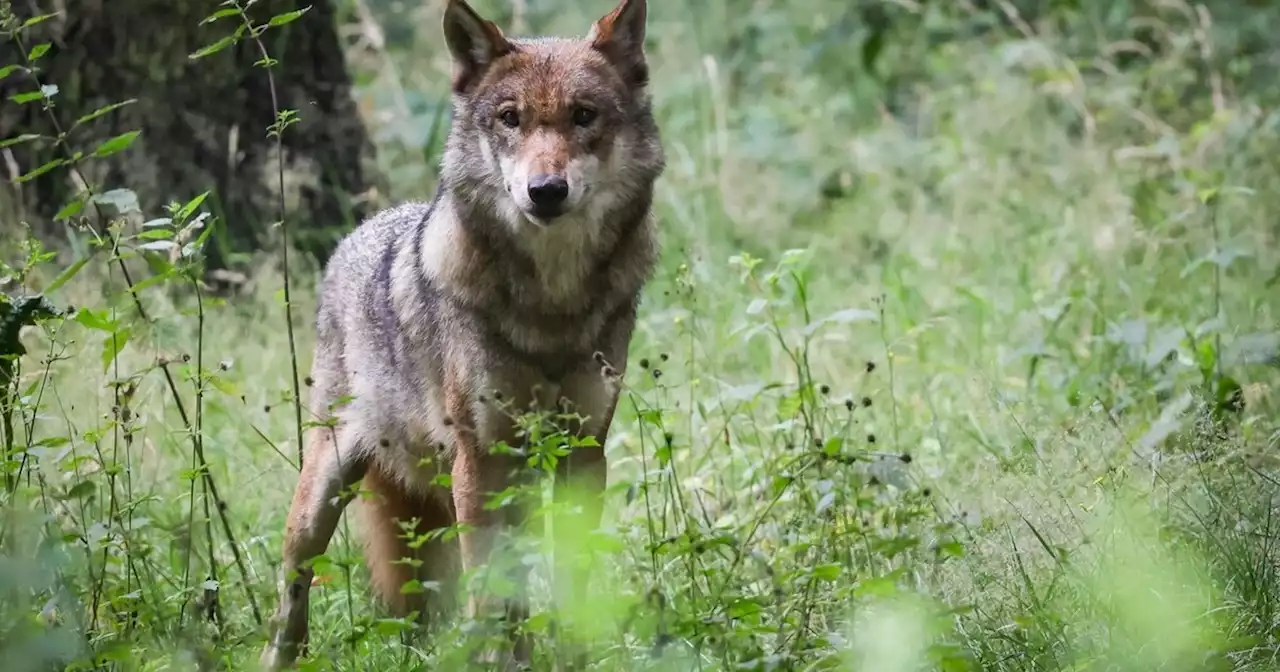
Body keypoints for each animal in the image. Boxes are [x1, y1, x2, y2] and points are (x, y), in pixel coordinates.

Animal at [257, 0, 660, 665]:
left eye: (583, 115)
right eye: (509, 119)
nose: (545, 191)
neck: (552, 306)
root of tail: (359, 230)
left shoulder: (581, 451)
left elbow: (570, 580)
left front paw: (572, 656)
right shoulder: (480, 458)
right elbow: (489, 590)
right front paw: (498, 660)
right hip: (323, 493)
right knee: (293, 590)